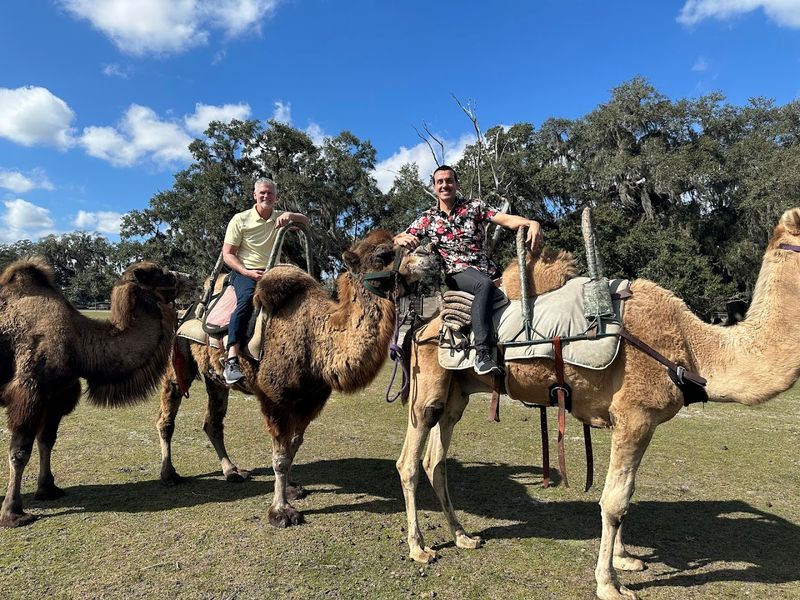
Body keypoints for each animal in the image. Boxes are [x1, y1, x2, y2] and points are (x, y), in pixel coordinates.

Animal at [0, 259, 189, 527]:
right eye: (161, 274)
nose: (189, 277)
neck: (79, 345)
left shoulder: (58, 395)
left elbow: (47, 440)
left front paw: (48, 490)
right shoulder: (29, 394)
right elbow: (19, 453)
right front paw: (13, 512)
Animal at [157, 229, 438, 527]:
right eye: (382, 254)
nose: (428, 252)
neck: (314, 337)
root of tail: (185, 311)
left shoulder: (312, 399)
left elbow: (292, 448)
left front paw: (291, 488)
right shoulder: (276, 398)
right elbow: (280, 457)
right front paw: (281, 511)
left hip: (215, 379)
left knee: (213, 422)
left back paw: (232, 471)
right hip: (176, 366)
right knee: (167, 418)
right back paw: (169, 475)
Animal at [396, 207, 800, 600]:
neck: (693, 350)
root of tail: (424, 324)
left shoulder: (628, 421)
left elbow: (624, 493)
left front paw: (624, 559)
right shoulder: (637, 417)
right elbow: (615, 500)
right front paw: (610, 585)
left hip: (457, 393)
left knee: (436, 461)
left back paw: (463, 536)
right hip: (427, 385)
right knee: (409, 462)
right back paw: (419, 548)